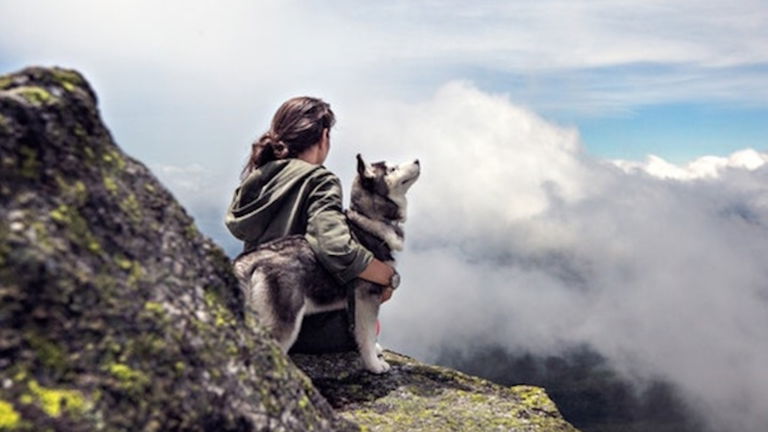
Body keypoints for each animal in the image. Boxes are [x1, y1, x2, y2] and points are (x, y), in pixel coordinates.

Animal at [232, 154, 420, 372]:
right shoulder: (366, 298)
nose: (417, 160)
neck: (369, 220)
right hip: (285, 320)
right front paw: (374, 365)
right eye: (392, 169)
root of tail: (250, 258)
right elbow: (367, 334)